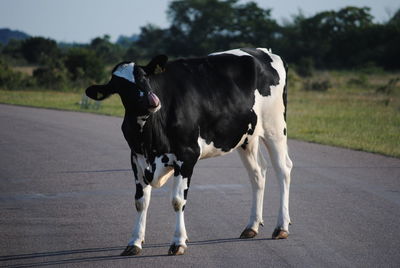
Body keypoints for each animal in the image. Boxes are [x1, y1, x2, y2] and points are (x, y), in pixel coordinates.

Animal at [86, 47, 294, 255]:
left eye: (144, 77)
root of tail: (264, 51)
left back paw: (281, 227)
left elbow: (178, 201)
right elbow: (140, 201)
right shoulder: (136, 159)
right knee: (258, 173)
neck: (149, 139)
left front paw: (178, 242)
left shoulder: (187, 156)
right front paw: (135, 242)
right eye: (121, 87)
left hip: (275, 128)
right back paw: (252, 226)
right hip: (247, 137)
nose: (152, 101)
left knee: (283, 170)